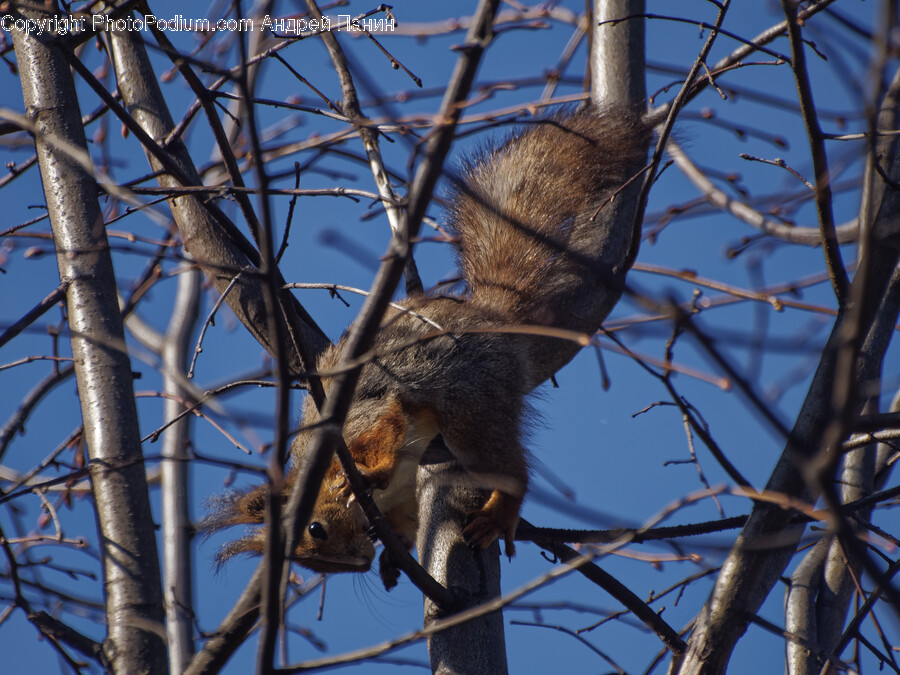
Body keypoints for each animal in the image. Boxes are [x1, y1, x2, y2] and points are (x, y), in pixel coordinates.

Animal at [202, 105, 650, 587]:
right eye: (311, 564)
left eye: (316, 529)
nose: (359, 561)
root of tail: (487, 314)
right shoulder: (399, 499)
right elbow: (406, 515)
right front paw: (392, 553)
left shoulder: (364, 418)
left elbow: (385, 430)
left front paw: (367, 475)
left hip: (472, 402)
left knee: (509, 468)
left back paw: (500, 513)